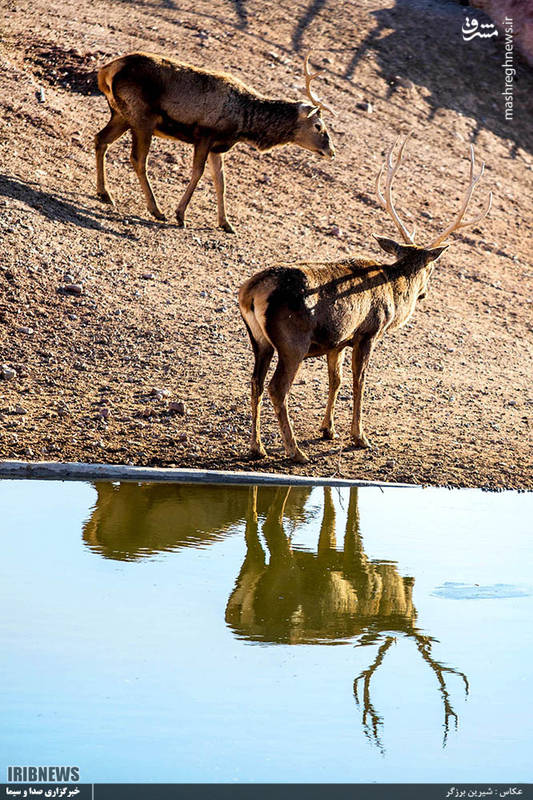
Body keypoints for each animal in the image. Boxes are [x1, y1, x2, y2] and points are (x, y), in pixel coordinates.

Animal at [95, 52, 334, 230]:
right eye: (318, 125)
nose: (331, 151)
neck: (245, 123)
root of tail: (106, 70)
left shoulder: (218, 147)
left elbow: (221, 182)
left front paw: (226, 223)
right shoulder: (205, 135)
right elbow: (198, 173)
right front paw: (180, 215)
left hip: (121, 115)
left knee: (100, 140)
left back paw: (104, 193)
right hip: (142, 118)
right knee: (138, 159)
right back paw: (156, 210)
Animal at [239, 136, 492, 462]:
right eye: (432, 268)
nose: (425, 293)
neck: (394, 292)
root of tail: (252, 292)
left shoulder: (337, 341)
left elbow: (336, 380)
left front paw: (328, 430)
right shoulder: (368, 332)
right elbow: (359, 381)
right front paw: (359, 436)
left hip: (259, 340)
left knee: (255, 382)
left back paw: (256, 447)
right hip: (292, 342)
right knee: (276, 388)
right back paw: (295, 451)